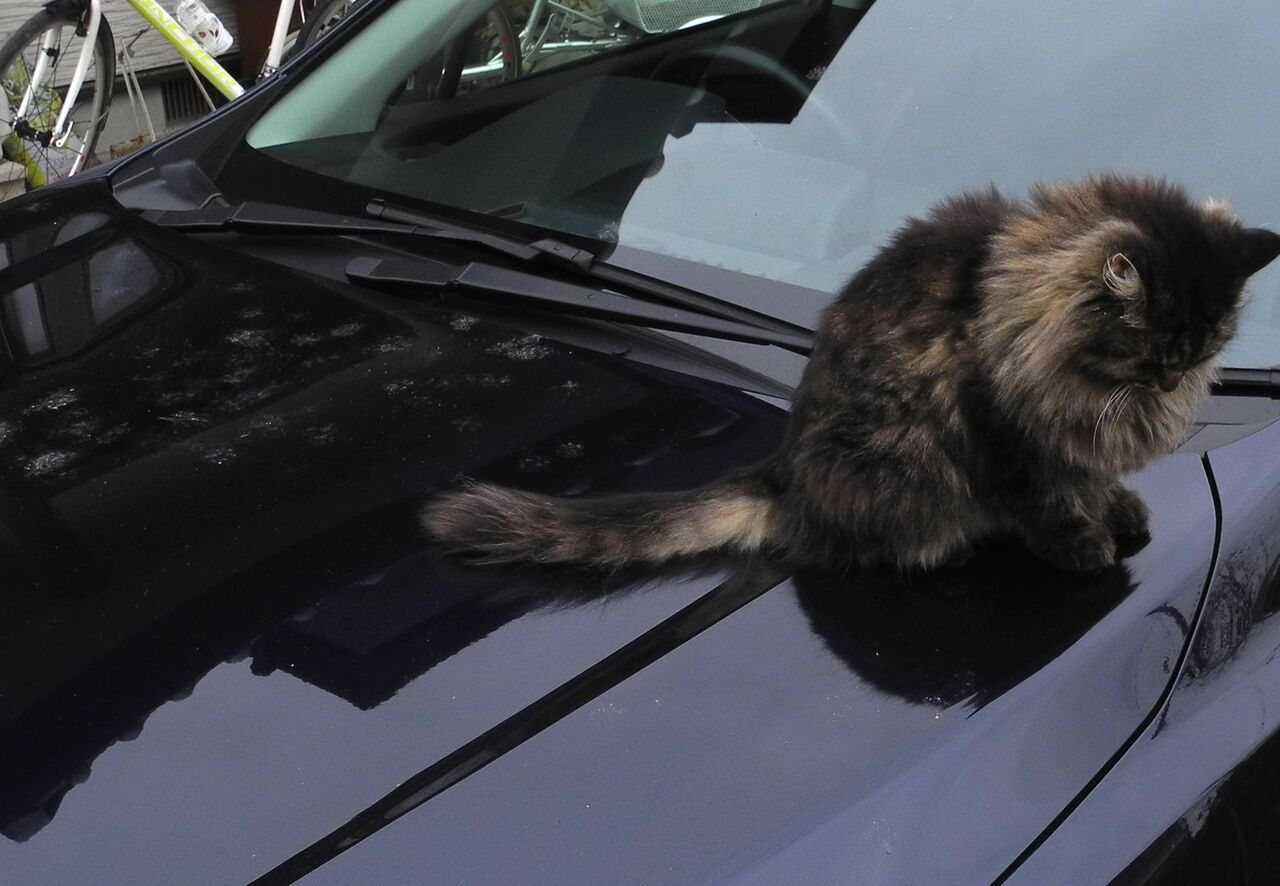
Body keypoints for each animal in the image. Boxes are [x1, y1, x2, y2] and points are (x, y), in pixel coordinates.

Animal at [419, 175, 1280, 573]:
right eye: (1153, 354)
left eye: (1204, 350)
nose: (1171, 385)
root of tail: (785, 470)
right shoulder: (1001, 434)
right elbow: (1045, 501)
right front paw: (1085, 543)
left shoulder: (1070, 436)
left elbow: (1089, 476)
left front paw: (1119, 508)